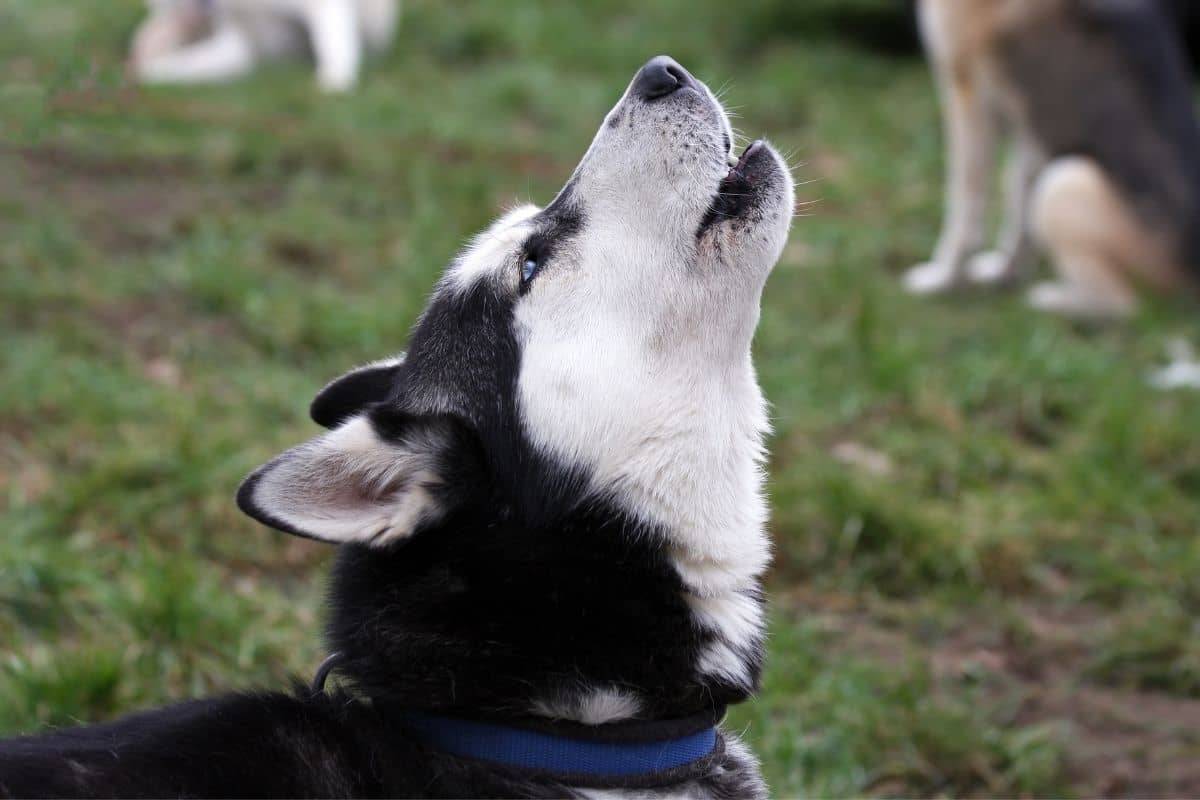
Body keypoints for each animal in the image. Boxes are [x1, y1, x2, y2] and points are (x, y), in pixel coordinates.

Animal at [902, 0, 1200, 319]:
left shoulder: (969, 101)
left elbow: (964, 214)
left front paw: (943, 279)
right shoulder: (1028, 131)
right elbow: (1018, 210)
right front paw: (1005, 274)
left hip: (1063, 184)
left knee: (1125, 306)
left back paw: (1047, 299)